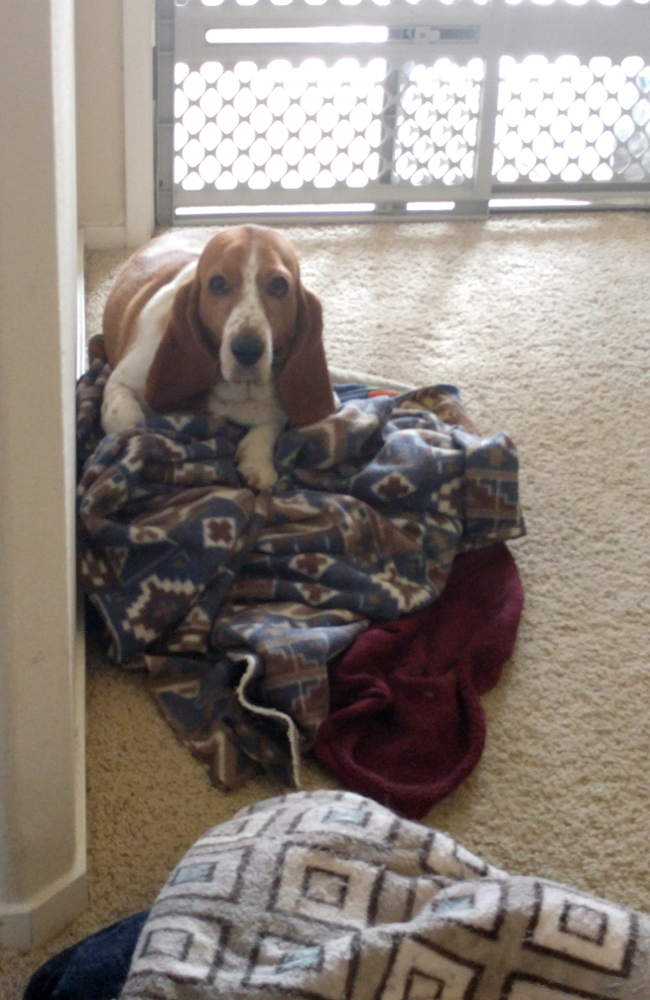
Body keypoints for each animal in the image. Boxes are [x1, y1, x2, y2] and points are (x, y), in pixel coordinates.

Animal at [100, 225, 336, 488]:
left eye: (279, 285)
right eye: (217, 283)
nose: (247, 349)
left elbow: (271, 422)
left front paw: (256, 461)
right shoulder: (120, 382)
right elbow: (128, 420)